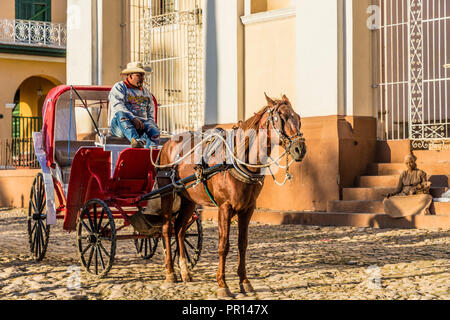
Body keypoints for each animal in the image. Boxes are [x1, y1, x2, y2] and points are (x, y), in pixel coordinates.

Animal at [155, 93, 306, 298]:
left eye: (298, 118)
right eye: (280, 118)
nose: (300, 149)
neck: (237, 160)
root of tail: (167, 143)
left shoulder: (248, 209)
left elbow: (243, 244)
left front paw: (244, 282)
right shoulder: (224, 208)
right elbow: (223, 246)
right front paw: (222, 284)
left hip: (189, 200)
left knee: (179, 229)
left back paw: (185, 271)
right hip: (167, 194)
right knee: (166, 229)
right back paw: (170, 273)